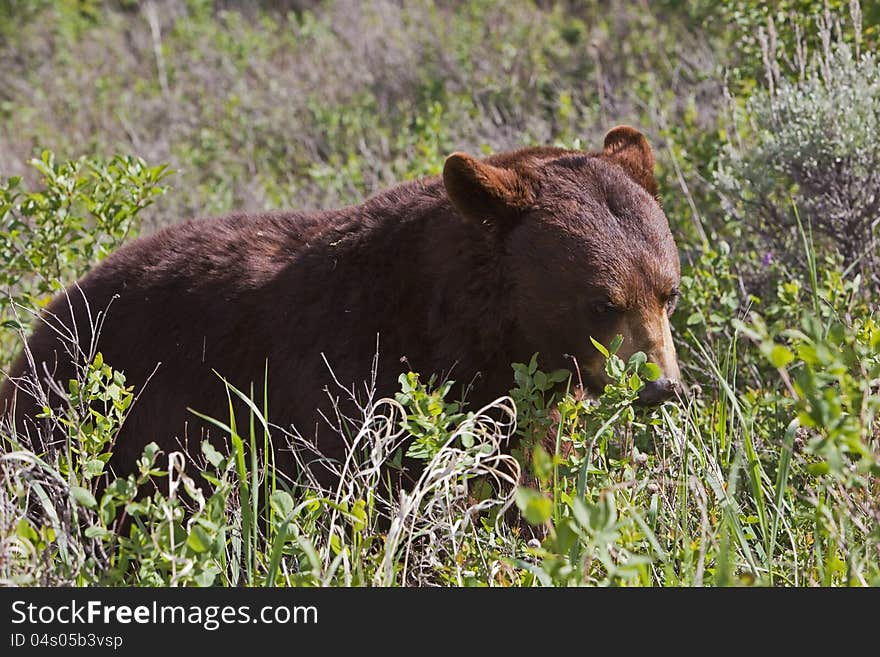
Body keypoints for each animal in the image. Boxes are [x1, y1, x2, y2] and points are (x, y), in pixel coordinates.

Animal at [0, 125, 680, 486]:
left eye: (668, 291)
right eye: (601, 302)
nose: (662, 387)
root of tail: (42, 323)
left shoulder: (519, 398)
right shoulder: (350, 376)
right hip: (84, 415)